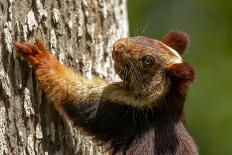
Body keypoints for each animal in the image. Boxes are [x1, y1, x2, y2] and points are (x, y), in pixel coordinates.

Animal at [14, 29, 198, 154]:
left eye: (148, 61)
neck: (164, 104)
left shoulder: (119, 110)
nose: (117, 46)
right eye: (146, 38)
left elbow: (73, 91)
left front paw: (41, 57)